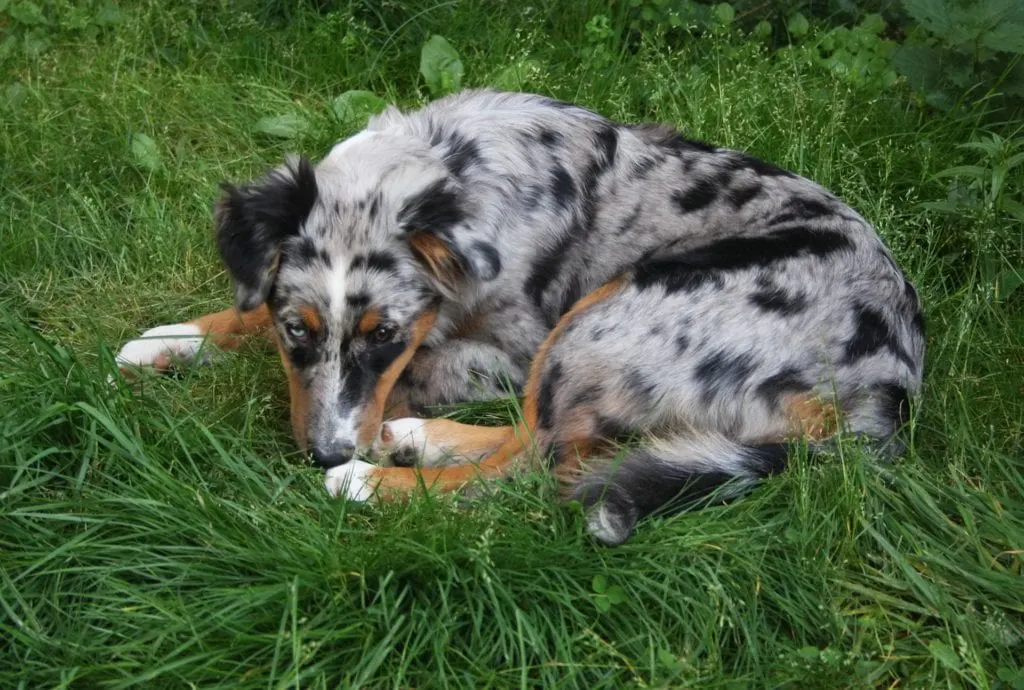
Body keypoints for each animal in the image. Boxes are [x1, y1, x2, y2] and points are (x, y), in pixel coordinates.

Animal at [116, 90, 925, 544]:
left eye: (387, 335)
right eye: (298, 330)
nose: (322, 452)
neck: (444, 171)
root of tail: (885, 398)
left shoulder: (509, 349)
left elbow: (419, 374)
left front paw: (363, 444)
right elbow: (248, 311)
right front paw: (173, 339)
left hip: (611, 312)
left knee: (535, 468)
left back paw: (373, 479)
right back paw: (415, 441)